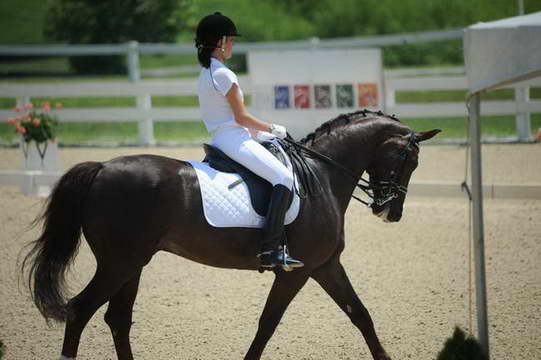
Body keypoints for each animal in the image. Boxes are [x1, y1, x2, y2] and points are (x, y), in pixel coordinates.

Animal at [23, 109, 440, 360]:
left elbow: (361, 315)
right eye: (410, 159)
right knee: (80, 310)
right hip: (119, 263)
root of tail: (103, 167)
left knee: (117, 319)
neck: (321, 176)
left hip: (132, 264)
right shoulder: (298, 271)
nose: (391, 212)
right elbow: (268, 323)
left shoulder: (326, 266)